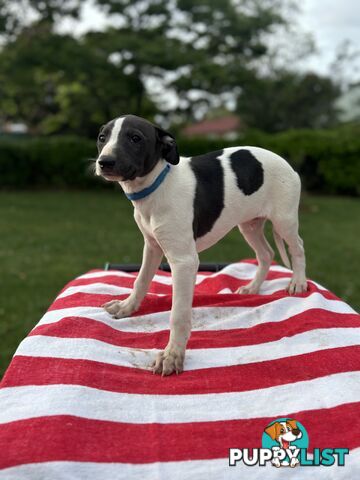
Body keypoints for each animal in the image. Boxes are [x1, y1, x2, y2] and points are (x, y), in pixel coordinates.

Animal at [95, 115, 306, 376]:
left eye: (135, 138)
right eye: (102, 137)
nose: (105, 162)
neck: (157, 186)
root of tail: (286, 163)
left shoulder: (184, 261)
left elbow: (178, 313)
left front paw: (172, 355)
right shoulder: (152, 246)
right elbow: (141, 280)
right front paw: (127, 307)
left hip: (284, 220)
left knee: (297, 247)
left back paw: (298, 282)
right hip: (249, 224)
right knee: (266, 254)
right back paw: (253, 287)